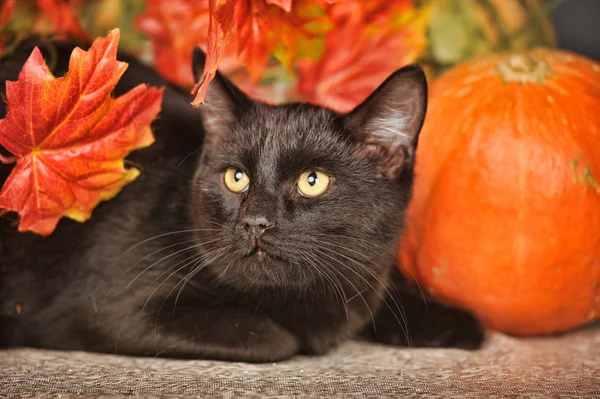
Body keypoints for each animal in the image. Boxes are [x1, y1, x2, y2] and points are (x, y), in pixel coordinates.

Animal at [0, 40, 482, 362]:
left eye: (312, 181)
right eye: (236, 178)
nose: (255, 221)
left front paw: (449, 320)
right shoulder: (109, 310)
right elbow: (274, 338)